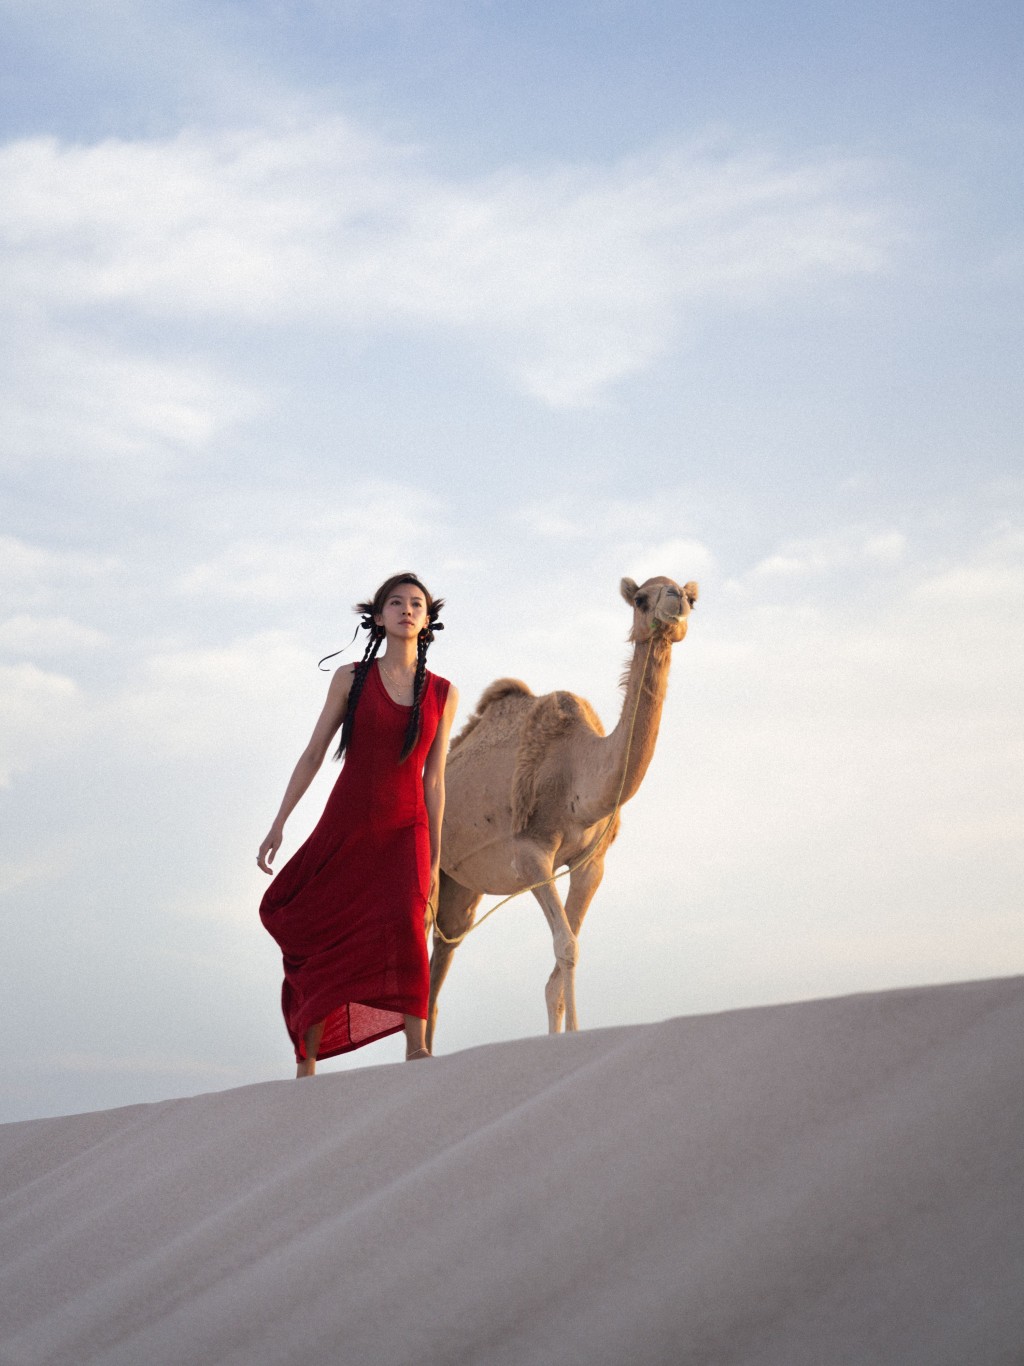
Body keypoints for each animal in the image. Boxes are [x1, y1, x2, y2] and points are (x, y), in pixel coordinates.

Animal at [428, 573, 704, 1043]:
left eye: (690, 597)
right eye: (641, 598)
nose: (676, 603)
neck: (576, 768)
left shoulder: (590, 862)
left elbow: (559, 969)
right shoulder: (531, 852)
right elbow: (566, 948)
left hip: (459, 884)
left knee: (443, 952)